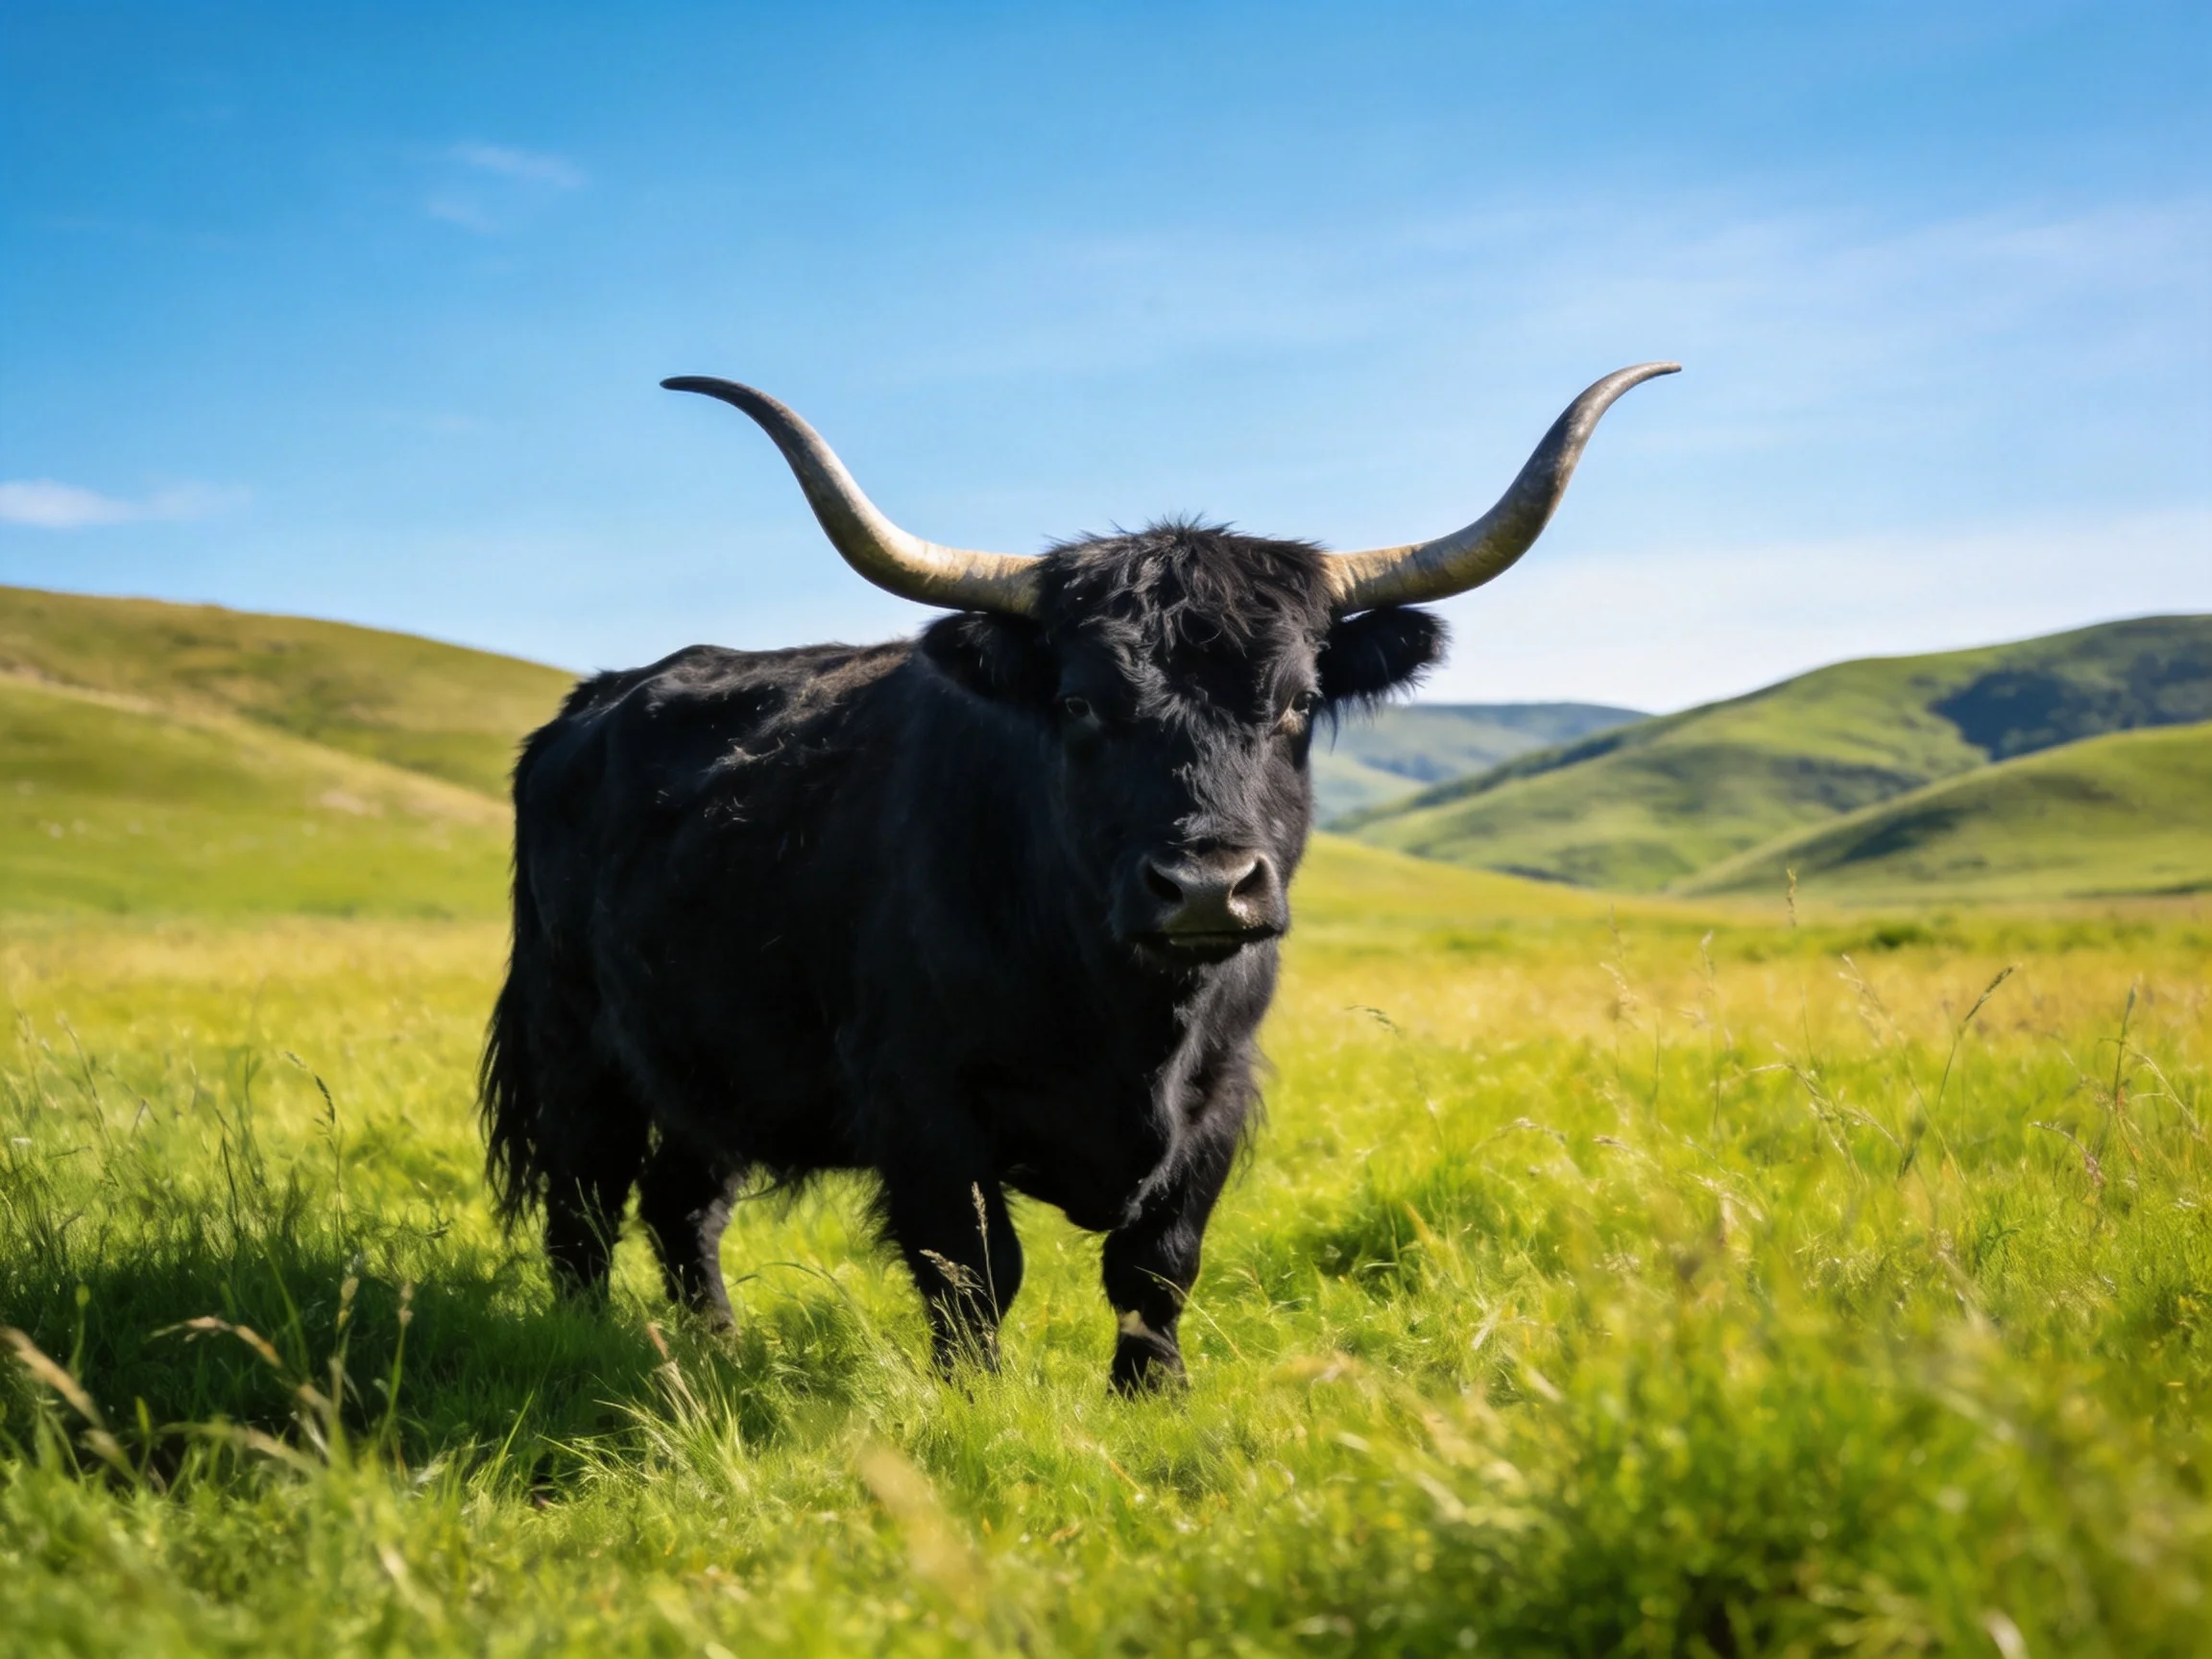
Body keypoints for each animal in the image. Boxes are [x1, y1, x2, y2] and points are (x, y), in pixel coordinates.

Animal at [481, 362, 1675, 1390]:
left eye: (1296, 702)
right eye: (1080, 702)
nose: (1206, 886)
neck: (1127, 1016)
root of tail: (592, 701)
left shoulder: (1220, 1094)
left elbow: (1160, 1262)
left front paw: (1153, 1396)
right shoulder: (921, 1100)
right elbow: (973, 1272)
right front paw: (974, 1404)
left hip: (705, 1065)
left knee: (684, 1202)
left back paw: (715, 1345)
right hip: (575, 1041)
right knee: (585, 1204)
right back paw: (586, 1345)